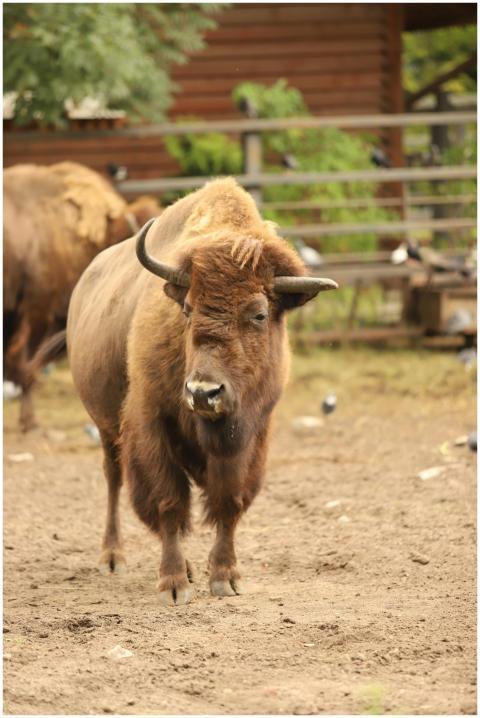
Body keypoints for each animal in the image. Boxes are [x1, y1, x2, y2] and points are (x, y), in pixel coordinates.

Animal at [66, 178, 337, 605]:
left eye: (259, 314)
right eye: (188, 308)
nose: (203, 393)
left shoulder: (250, 435)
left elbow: (229, 502)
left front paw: (225, 577)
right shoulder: (151, 424)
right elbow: (168, 502)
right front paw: (173, 584)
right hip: (106, 427)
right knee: (114, 479)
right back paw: (113, 558)